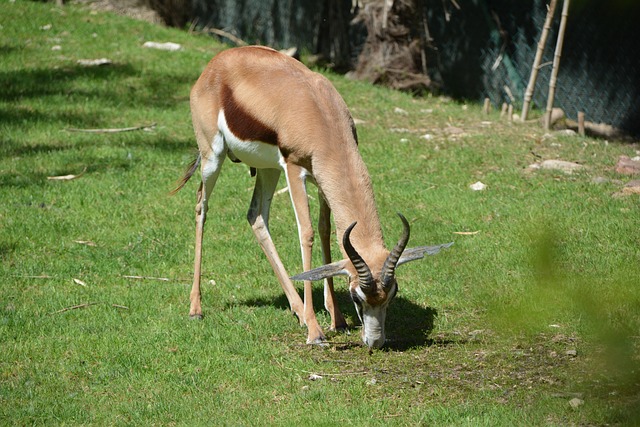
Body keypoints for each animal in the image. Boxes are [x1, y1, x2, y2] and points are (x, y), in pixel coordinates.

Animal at [172, 45, 452, 350]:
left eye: (392, 294)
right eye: (357, 296)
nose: (375, 341)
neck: (322, 115)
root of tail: (216, 63)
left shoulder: (321, 178)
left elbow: (326, 230)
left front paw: (337, 320)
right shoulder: (295, 169)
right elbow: (306, 233)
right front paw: (316, 331)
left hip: (268, 169)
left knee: (256, 216)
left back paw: (297, 309)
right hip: (213, 156)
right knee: (201, 206)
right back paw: (196, 308)